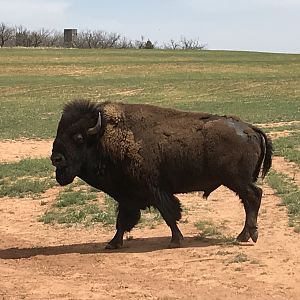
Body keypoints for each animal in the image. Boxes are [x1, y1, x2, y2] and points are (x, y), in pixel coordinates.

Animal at [51, 99, 272, 248]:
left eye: (78, 138)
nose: (55, 158)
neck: (102, 137)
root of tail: (249, 128)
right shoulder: (127, 197)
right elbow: (122, 221)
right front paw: (113, 243)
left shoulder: (155, 191)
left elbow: (168, 214)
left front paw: (175, 241)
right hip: (237, 181)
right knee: (250, 200)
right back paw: (244, 235)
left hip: (236, 180)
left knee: (253, 197)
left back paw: (247, 235)